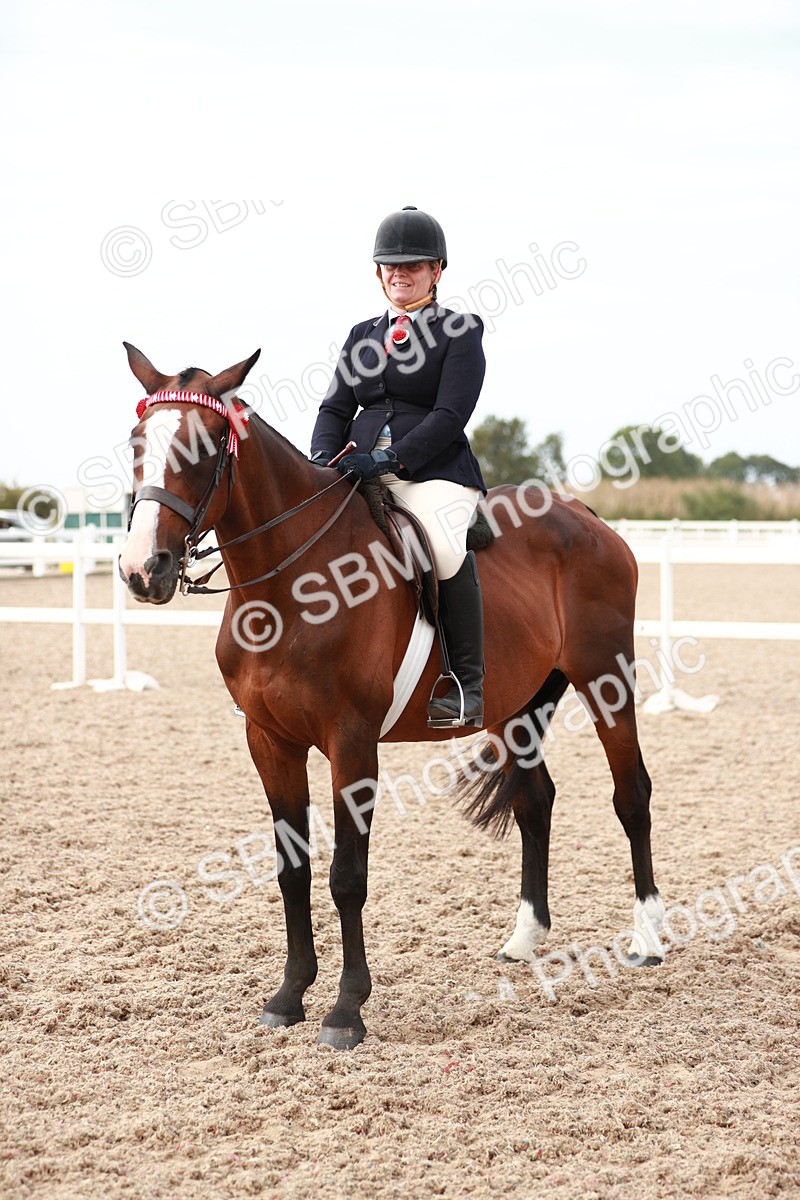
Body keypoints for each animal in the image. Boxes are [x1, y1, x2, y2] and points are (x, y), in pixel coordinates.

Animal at [118, 343, 666, 1050]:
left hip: (607, 681)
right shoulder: (269, 741)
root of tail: (587, 517)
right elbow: (292, 869)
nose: (144, 570)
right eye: (137, 442)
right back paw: (524, 938)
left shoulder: (352, 743)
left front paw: (346, 1010)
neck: (292, 586)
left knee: (632, 796)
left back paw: (648, 939)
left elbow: (347, 876)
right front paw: (288, 996)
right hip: (511, 706)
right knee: (534, 801)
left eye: (207, 446)